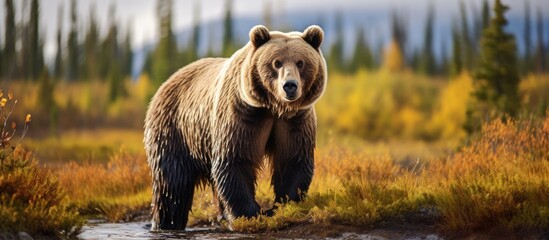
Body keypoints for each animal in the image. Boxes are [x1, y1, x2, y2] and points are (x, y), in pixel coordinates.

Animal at [143, 24, 328, 231]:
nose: (289, 86)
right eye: (277, 62)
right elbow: (235, 160)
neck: (273, 107)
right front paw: (249, 214)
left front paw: (282, 206)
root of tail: (165, 83)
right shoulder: (241, 116)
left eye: (300, 62)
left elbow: (292, 161)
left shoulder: (294, 121)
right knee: (172, 186)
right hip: (174, 130)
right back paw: (166, 223)